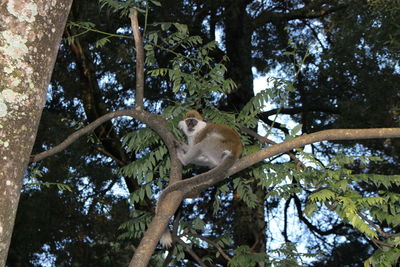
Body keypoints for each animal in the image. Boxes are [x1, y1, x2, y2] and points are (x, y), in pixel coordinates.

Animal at [158, 110, 242, 248]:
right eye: (189, 121)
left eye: (194, 121)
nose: (190, 126)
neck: (197, 131)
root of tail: (235, 152)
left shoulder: (199, 136)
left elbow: (195, 147)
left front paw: (181, 145)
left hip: (216, 146)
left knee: (203, 145)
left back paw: (183, 159)